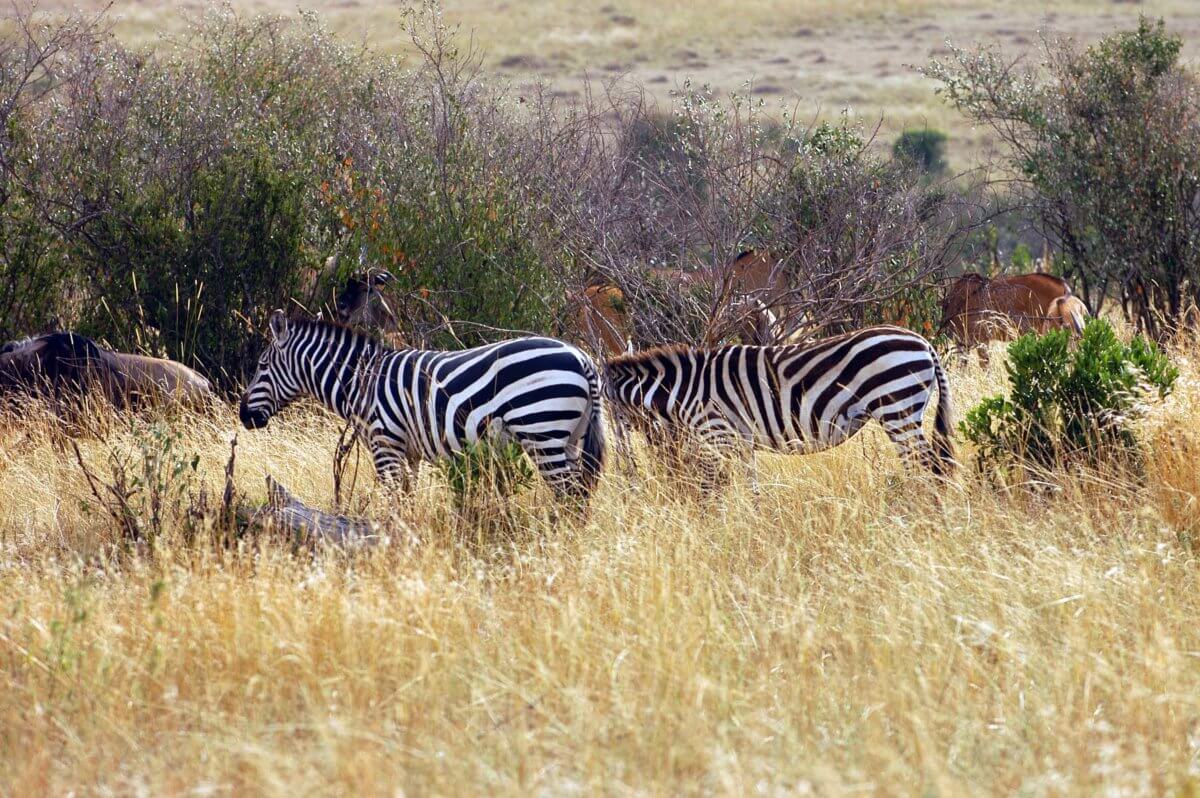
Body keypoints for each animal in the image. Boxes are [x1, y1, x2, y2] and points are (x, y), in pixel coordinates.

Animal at [237, 309, 604, 499]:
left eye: (262, 366)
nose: (243, 416)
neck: (361, 382)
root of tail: (581, 357)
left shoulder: (385, 443)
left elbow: (392, 501)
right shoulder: (408, 450)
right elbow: (407, 499)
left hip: (543, 430)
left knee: (569, 497)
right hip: (570, 437)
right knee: (579, 496)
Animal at [604, 321, 950, 484]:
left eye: (606, 408)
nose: (622, 467)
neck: (684, 388)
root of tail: (924, 343)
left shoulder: (716, 436)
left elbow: (711, 487)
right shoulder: (741, 443)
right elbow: (751, 486)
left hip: (896, 408)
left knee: (926, 465)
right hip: (905, 411)